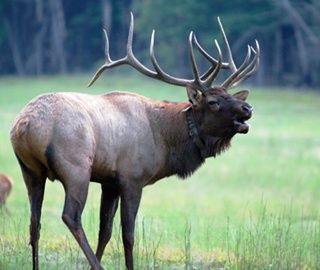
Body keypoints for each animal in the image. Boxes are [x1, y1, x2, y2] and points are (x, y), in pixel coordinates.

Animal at [10, 12, 260, 270]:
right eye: (213, 102)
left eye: (230, 95)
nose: (248, 108)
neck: (166, 141)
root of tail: (25, 124)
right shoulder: (132, 178)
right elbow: (128, 235)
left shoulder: (109, 182)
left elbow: (105, 231)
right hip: (76, 167)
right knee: (70, 216)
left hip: (30, 170)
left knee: (34, 222)